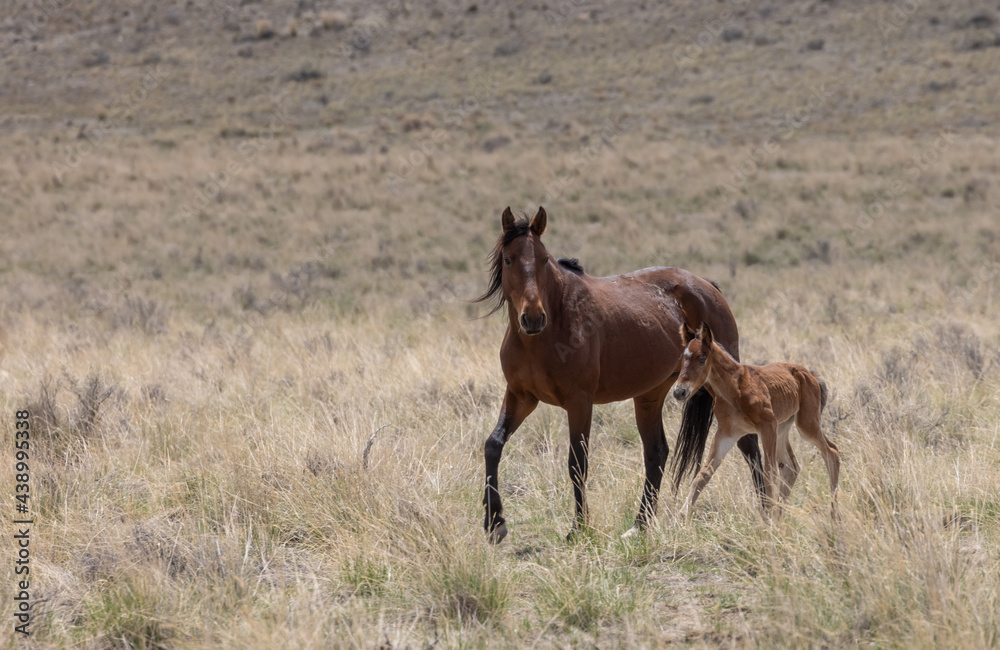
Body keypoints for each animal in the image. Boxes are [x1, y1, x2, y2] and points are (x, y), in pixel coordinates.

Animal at [475, 206, 765, 543]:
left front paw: (578, 528)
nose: (533, 318)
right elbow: (493, 445)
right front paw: (495, 523)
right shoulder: (521, 396)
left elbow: (577, 462)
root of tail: (706, 286)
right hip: (650, 395)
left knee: (748, 443)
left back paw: (767, 509)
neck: (547, 332)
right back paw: (640, 524)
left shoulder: (579, 402)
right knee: (657, 452)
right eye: (509, 259)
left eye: (544, 259)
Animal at [672, 322, 841, 521]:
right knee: (791, 466)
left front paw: (769, 517)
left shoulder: (766, 426)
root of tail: (811, 374)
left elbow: (769, 472)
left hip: (806, 424)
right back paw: (780, 516)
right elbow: (703, 473)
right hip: (782, 427)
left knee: (831, 452)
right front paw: (681, 516)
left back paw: (834, 515)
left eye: (702, 359)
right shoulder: (727, 433)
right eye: (682, 359)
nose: (679, 392)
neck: (734, 389)